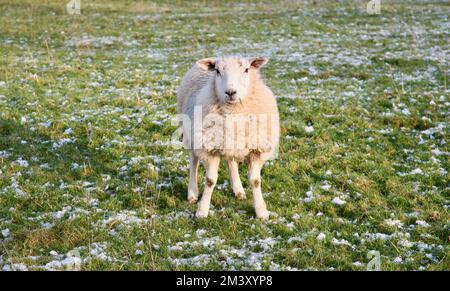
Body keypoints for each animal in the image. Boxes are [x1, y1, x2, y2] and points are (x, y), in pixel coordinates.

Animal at [176, 56, 278, 220]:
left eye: (247, 69)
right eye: (217, 71)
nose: (230, 92)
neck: (234, 112)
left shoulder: (257, 150)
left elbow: (255, 181)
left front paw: (261, 211)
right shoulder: (209, 148)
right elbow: (210, 181)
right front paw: (202, 210)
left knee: (231, 161)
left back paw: (238, 189)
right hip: (191, 133)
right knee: (193, 161)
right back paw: (192, 193)